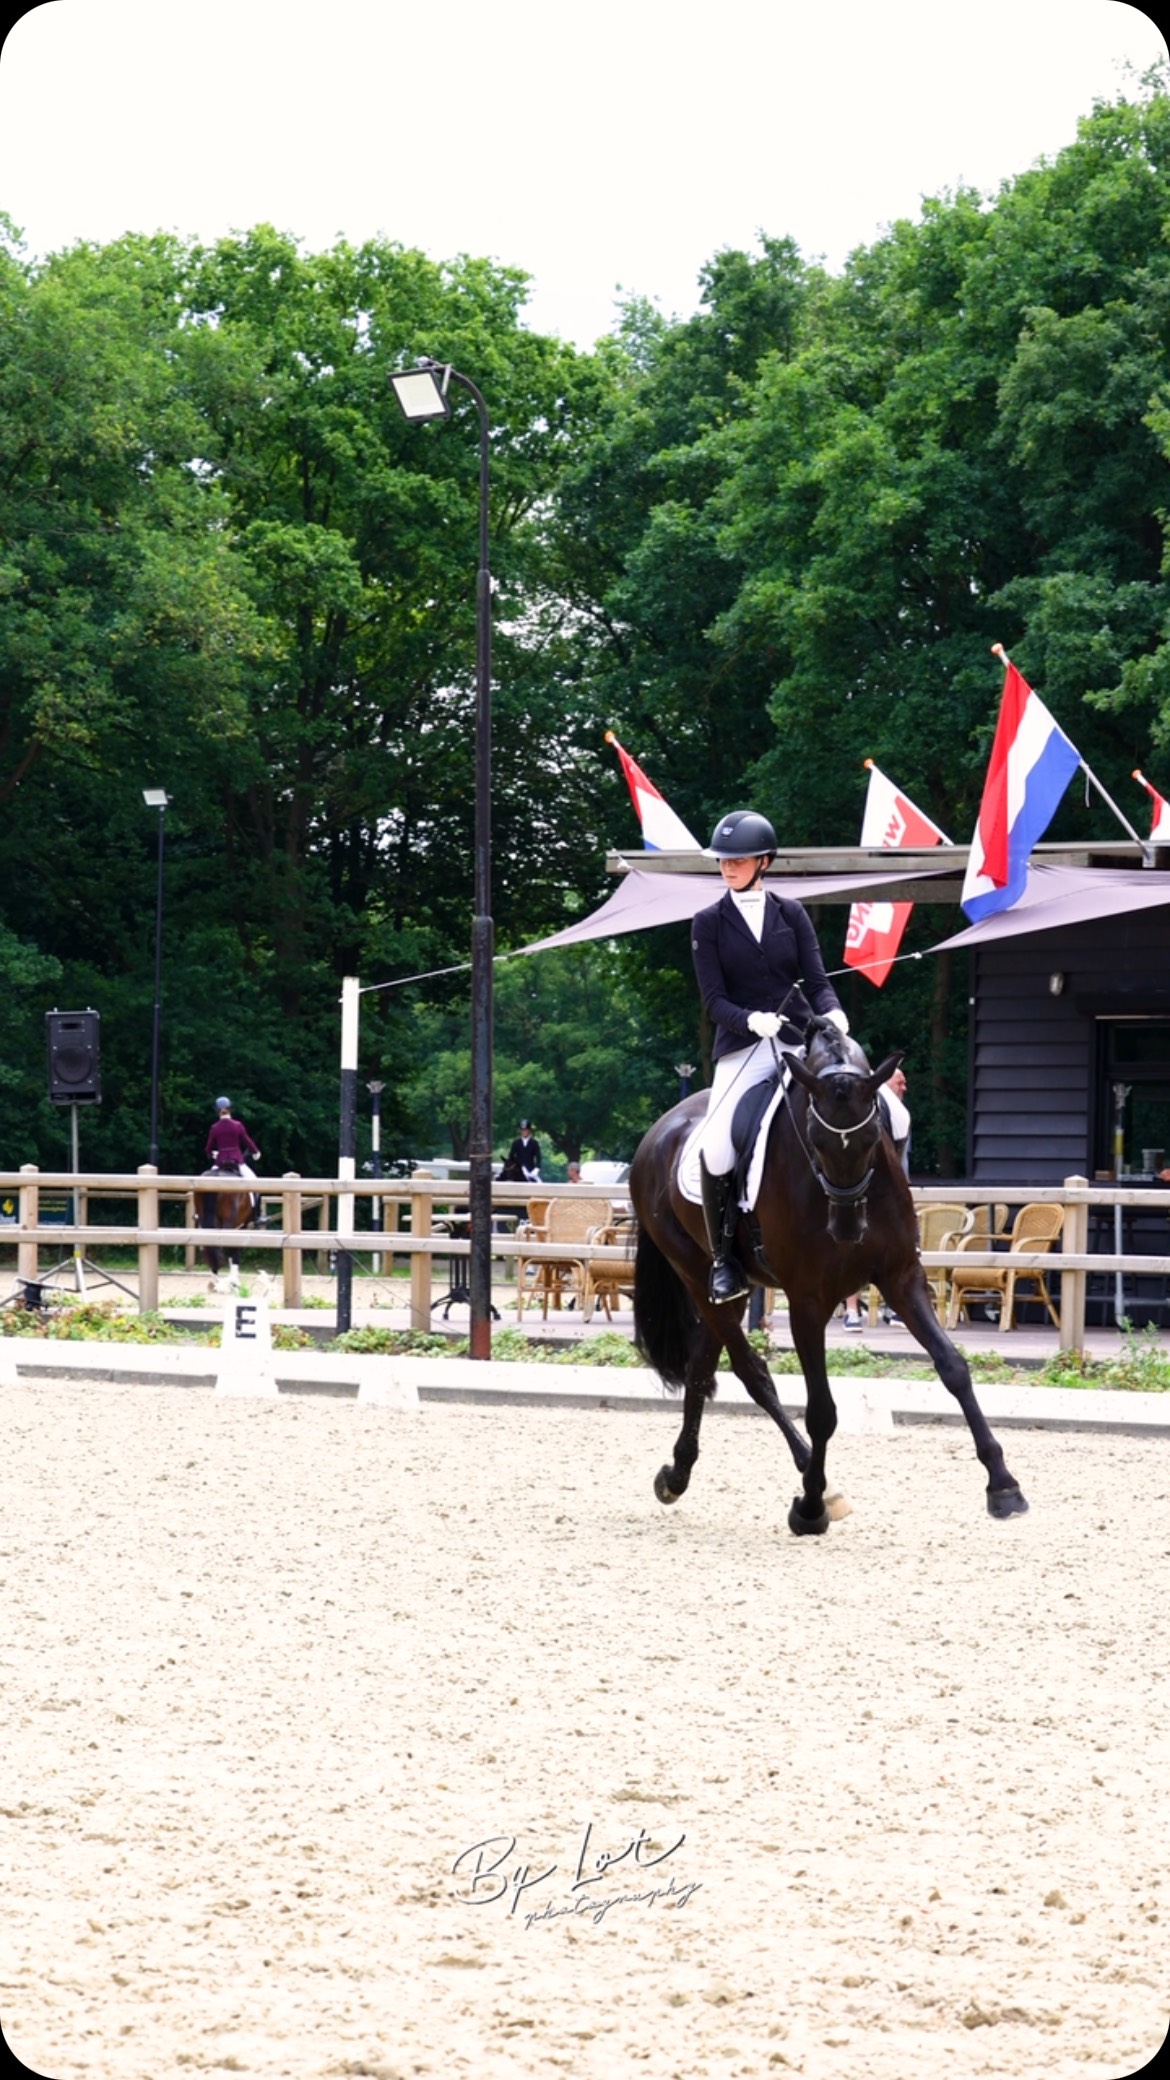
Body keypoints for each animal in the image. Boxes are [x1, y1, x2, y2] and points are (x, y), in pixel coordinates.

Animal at [629, 1015, 1028, 1533]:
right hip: (697, 1276)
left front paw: (1003, 1485)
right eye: (814, 1143)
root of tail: (656, 1133)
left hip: (736, 1291)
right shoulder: (807, 1300)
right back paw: (815, 1480)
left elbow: (953, 1369)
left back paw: (677, 1474)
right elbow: (821, 1409)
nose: (847, 1229)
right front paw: (810, 1507)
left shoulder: (902, 1277)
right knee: (751, 1372)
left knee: (701, 1368)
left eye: (874, 1135)